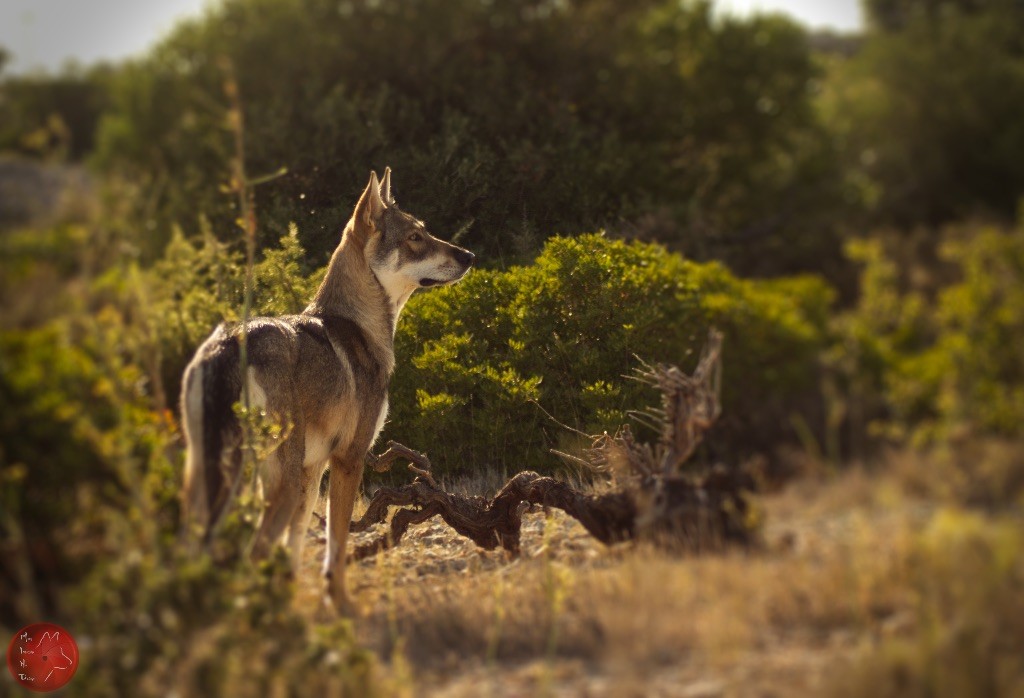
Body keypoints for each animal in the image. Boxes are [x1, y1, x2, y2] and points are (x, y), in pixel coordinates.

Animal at [181, 168, 475, 609]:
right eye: (415, 237)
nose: (469, 256)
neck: (361, 326)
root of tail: (230, 343)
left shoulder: (313, 469)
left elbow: (295, 546)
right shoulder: (348, 459)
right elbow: (335, 546)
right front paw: (341, 604)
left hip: (212, 479)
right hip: (274, 483)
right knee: (253, 551)